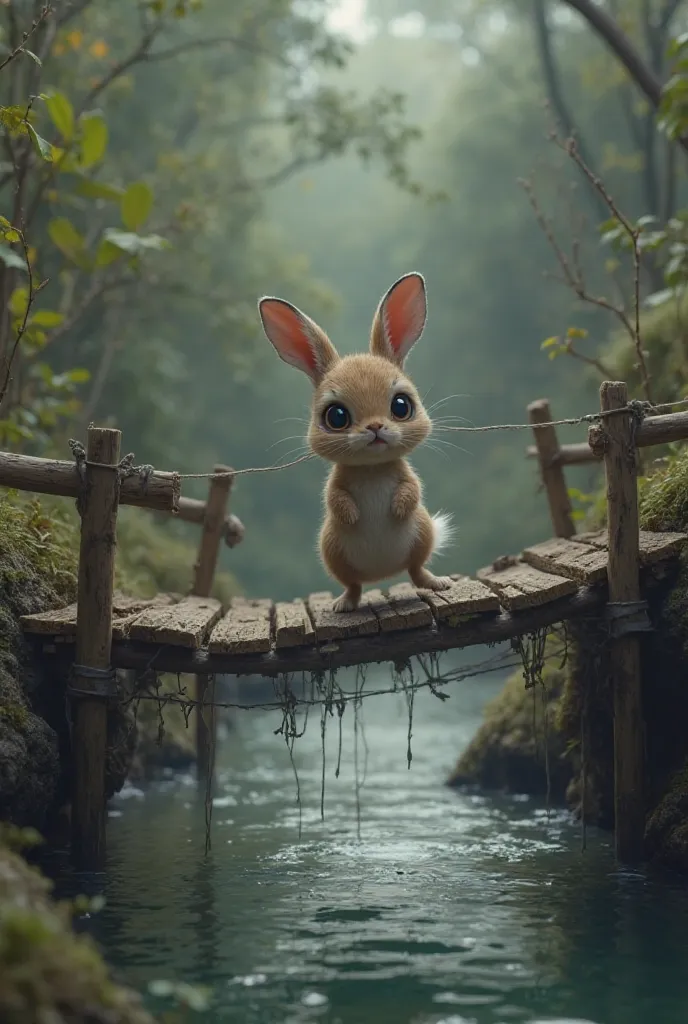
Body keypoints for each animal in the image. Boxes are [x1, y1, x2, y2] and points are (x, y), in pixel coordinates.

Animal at [256, 270, 450, 606]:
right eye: (336, 417)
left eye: (401, 406)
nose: (375, 428)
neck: (371, 468)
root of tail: (383, 575)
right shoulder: (335, 487)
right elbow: (334, 498)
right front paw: (352, 516)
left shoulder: (408, 479)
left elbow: (412, 489)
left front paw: (398, 509)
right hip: (332, 551)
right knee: (354, 585)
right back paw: (344, 604)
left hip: (422, 535)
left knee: (416, 571)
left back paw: (436, 583)